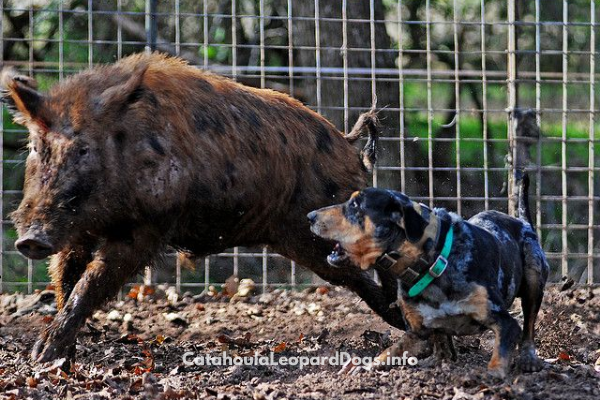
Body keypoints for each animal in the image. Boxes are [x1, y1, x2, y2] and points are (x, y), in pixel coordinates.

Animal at [310, 173, 548, 376]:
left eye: (355, 205)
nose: (310, 215)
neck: (431, 263)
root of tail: (523, 222)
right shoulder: (416, 332)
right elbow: (390, 352)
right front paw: (364, 367)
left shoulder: (503, 321)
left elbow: (502, 351)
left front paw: (491, 375)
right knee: (443, 347)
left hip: (534, 278)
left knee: (529, 326)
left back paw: (529, 360)